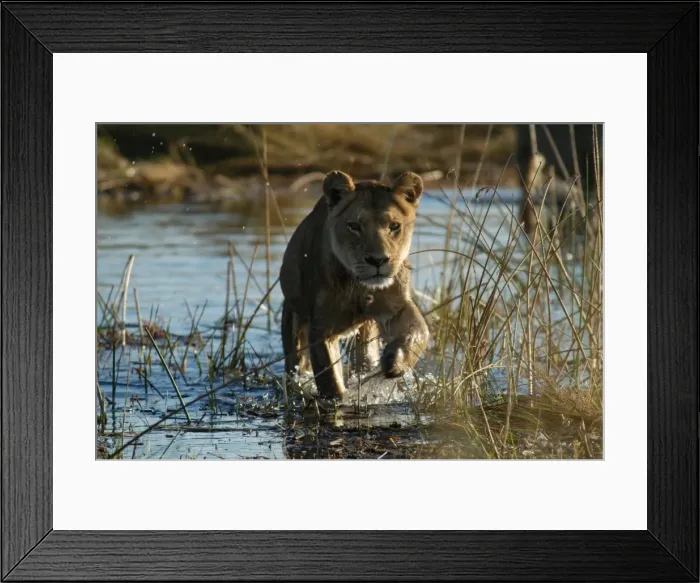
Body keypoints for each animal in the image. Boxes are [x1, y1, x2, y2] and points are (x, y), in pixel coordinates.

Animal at [279, 170, 430, 399]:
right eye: (354, 226)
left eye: (394, 226)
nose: (378, 260)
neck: (360, 287)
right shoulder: (321, 328)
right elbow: (330, 378)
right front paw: (339, 401)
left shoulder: (396, 305)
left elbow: (420, 330)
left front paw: (395, 362)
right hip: (294, 323)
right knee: (296, 363)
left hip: (365, 335)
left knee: (365, 359)